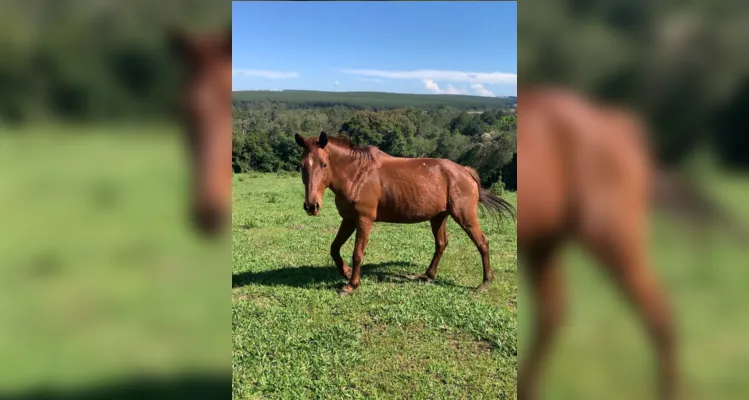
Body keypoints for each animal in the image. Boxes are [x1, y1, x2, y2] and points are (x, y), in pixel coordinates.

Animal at [292, 130, 516, 294]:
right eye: (302, 165)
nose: (312, 206)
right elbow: (334, 248)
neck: (357, 174)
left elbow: (357, 253)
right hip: (438, 217)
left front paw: (351, 284)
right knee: (441, 244)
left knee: (482, 243)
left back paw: (485, 282)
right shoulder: (348, 219)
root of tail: (466, 172)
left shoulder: (364, 219)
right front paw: (346, 272)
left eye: (324, 164)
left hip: (465, 216)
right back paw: (427, 275)